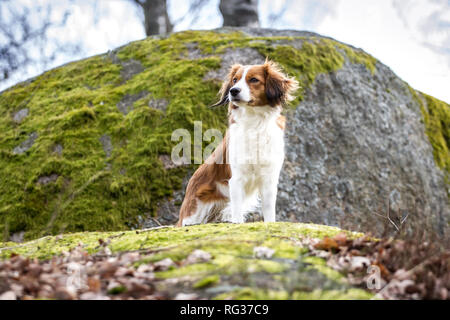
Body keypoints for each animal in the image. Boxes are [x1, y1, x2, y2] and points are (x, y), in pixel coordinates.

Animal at [177, 59, 298, 225]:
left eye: (254, 80)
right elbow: (237, 214)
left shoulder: (269, 179)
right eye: (235, 80)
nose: (233, 91)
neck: (255, 124)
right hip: (194, 212)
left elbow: (269, 213)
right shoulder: (236, 179)